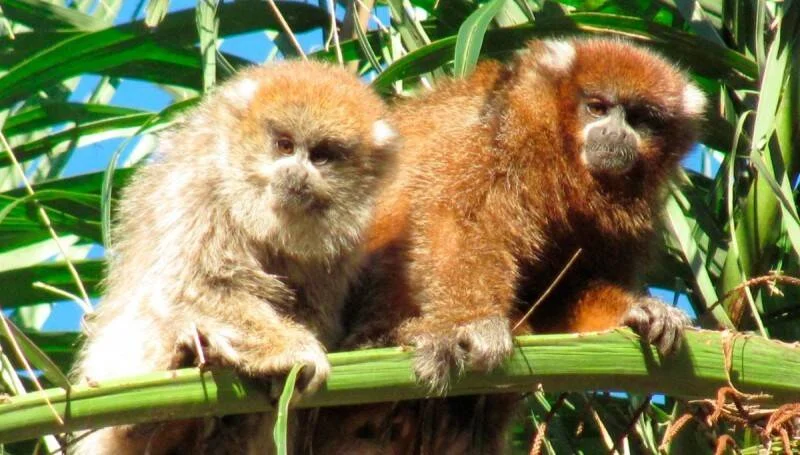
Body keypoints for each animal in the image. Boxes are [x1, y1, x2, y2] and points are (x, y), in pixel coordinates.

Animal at [69, 60, 397, 454]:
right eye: (284, 145)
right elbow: (193, 288)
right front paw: (295, 352)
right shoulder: (202, 188)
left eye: (321, 155)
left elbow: (314, 311)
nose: (296, 173)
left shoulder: (342, 249)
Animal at [310, 37, 706, 453]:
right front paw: (474, 325)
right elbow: (456, 219)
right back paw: (384, 339)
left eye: (639, 119)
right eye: (597, 107)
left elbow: (564, 295)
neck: (561, 157)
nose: (615, 134)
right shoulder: (496, 135)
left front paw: (637, 311)